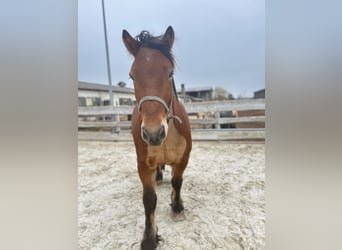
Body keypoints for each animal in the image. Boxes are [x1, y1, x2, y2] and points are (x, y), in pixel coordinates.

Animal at [123, 26, 192, 249]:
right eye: (132, 76)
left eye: (170, 72)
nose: (153, 133)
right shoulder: (143, 165)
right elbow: (149, 199)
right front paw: (150, 237)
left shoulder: (183, 159)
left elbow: (177, 182)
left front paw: (177, 207)